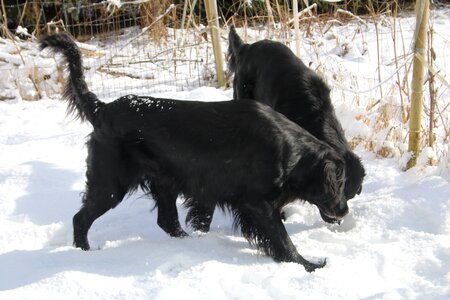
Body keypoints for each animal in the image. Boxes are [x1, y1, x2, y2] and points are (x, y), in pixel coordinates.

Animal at [40, 32, 348, 272]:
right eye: (342, 184)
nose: (344, 210)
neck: (291, 150)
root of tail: (102, 109)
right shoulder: (256, 203)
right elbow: (282, 240)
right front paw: (309, 265)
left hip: (163, 182)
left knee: (167, 221)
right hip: (110, 184)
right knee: (81, 218)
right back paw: (84, 253)